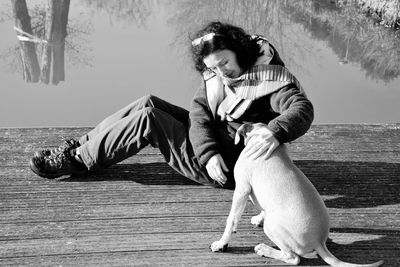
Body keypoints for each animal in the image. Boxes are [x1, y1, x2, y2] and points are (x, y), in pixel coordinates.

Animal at [211, 124, 382, 267]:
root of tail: (319, 241)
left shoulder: (242, 188)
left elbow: (231, 219)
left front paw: (221, 243)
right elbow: (263, 209)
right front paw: (258, 218)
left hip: (273, 226)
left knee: (293, 258)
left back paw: (264, 250)